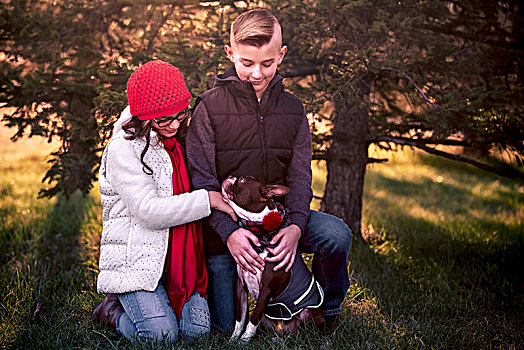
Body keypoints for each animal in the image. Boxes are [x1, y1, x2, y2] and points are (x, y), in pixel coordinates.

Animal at [221, 175, 324, 342]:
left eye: (242, 181)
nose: (229, 177)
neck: (259, 228)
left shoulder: (266, 289)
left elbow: (253, 319)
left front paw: (243, 341)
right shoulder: (240, 284)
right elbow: (240, 318)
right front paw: (233, 340)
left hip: (308, 312)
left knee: (306, 333)